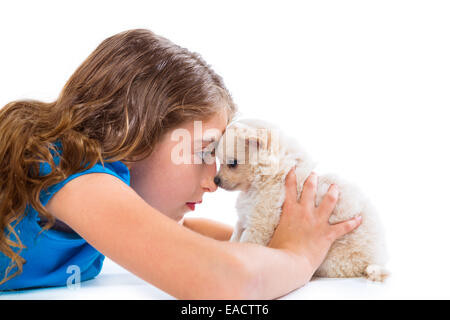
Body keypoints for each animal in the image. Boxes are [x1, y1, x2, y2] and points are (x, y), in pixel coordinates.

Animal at [216, 119, 388, 282]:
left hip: (334, 259)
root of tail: (373, 261)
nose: (216, 180)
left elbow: (247, 244)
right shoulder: (243, 219)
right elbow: (235, 238)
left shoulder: (260, 223)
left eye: (232, 164)